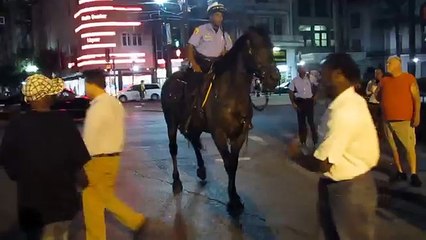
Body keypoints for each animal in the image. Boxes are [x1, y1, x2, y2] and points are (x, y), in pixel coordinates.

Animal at [161, 26, 280, 216]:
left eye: (271, 46)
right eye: (253, 48)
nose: (274, 78)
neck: (232, 95)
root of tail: (170, 80)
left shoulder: (240, 134)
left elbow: (234, 164)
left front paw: (235, 197)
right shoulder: (219, 134)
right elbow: (228, 163)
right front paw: (233, 201)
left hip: (195, 124)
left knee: (194, 141)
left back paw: (202, 171)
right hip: (170, 123)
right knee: (173, 149)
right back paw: (177, 182)